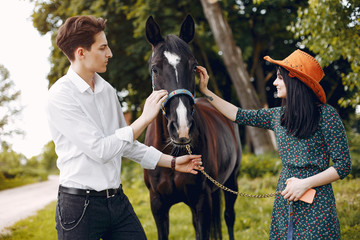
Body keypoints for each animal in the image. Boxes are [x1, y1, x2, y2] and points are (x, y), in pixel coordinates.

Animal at [143, 15, 242, 240]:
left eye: (194, 66)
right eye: (155, 69)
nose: (182, 127)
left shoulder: (201, 202)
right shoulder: (157, 206)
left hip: (231, 182)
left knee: (229, 217)